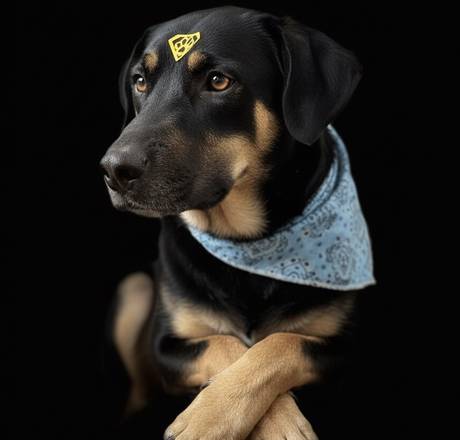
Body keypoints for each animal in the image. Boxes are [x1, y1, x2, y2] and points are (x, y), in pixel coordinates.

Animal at [100, 6, 373, 439]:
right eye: (140, 81)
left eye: (218, 81)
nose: (114, 170)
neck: (247, 245)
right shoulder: (167, 346)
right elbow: (226, 344)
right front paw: (209, 418)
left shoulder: (343, 346)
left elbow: (281, 342)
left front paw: (265, 421)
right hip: (136, 288)